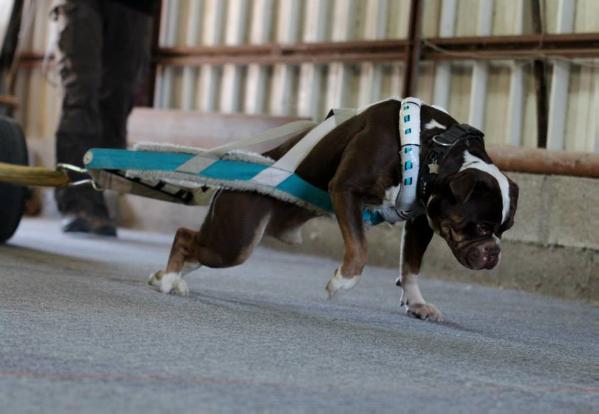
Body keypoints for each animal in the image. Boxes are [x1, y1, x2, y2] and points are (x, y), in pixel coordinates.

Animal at [148, 99, 516, 320]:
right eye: (481, 227)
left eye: (505, 229)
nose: (495, 253)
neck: (432, 146)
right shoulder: (345, 189)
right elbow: (360, 248)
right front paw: (341, 282)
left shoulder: (423, 219)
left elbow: (411, 266)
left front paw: (416, 302)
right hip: (236, 239)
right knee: (184, 236)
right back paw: (169, 279)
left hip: (229, 238)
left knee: (194, 246)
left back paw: (168, 277)